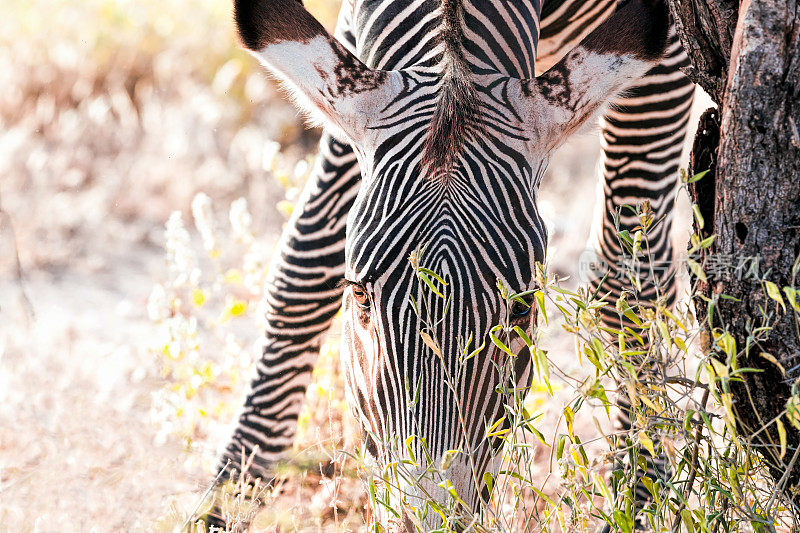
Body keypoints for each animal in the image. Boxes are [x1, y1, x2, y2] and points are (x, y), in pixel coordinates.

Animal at [205, 0, 692, 524]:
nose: (431, 519)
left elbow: (626, 282)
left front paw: (644, 496)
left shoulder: (672, 55)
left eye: (523, 308)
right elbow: (303, 261)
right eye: (359, 294)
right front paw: (228, 494)